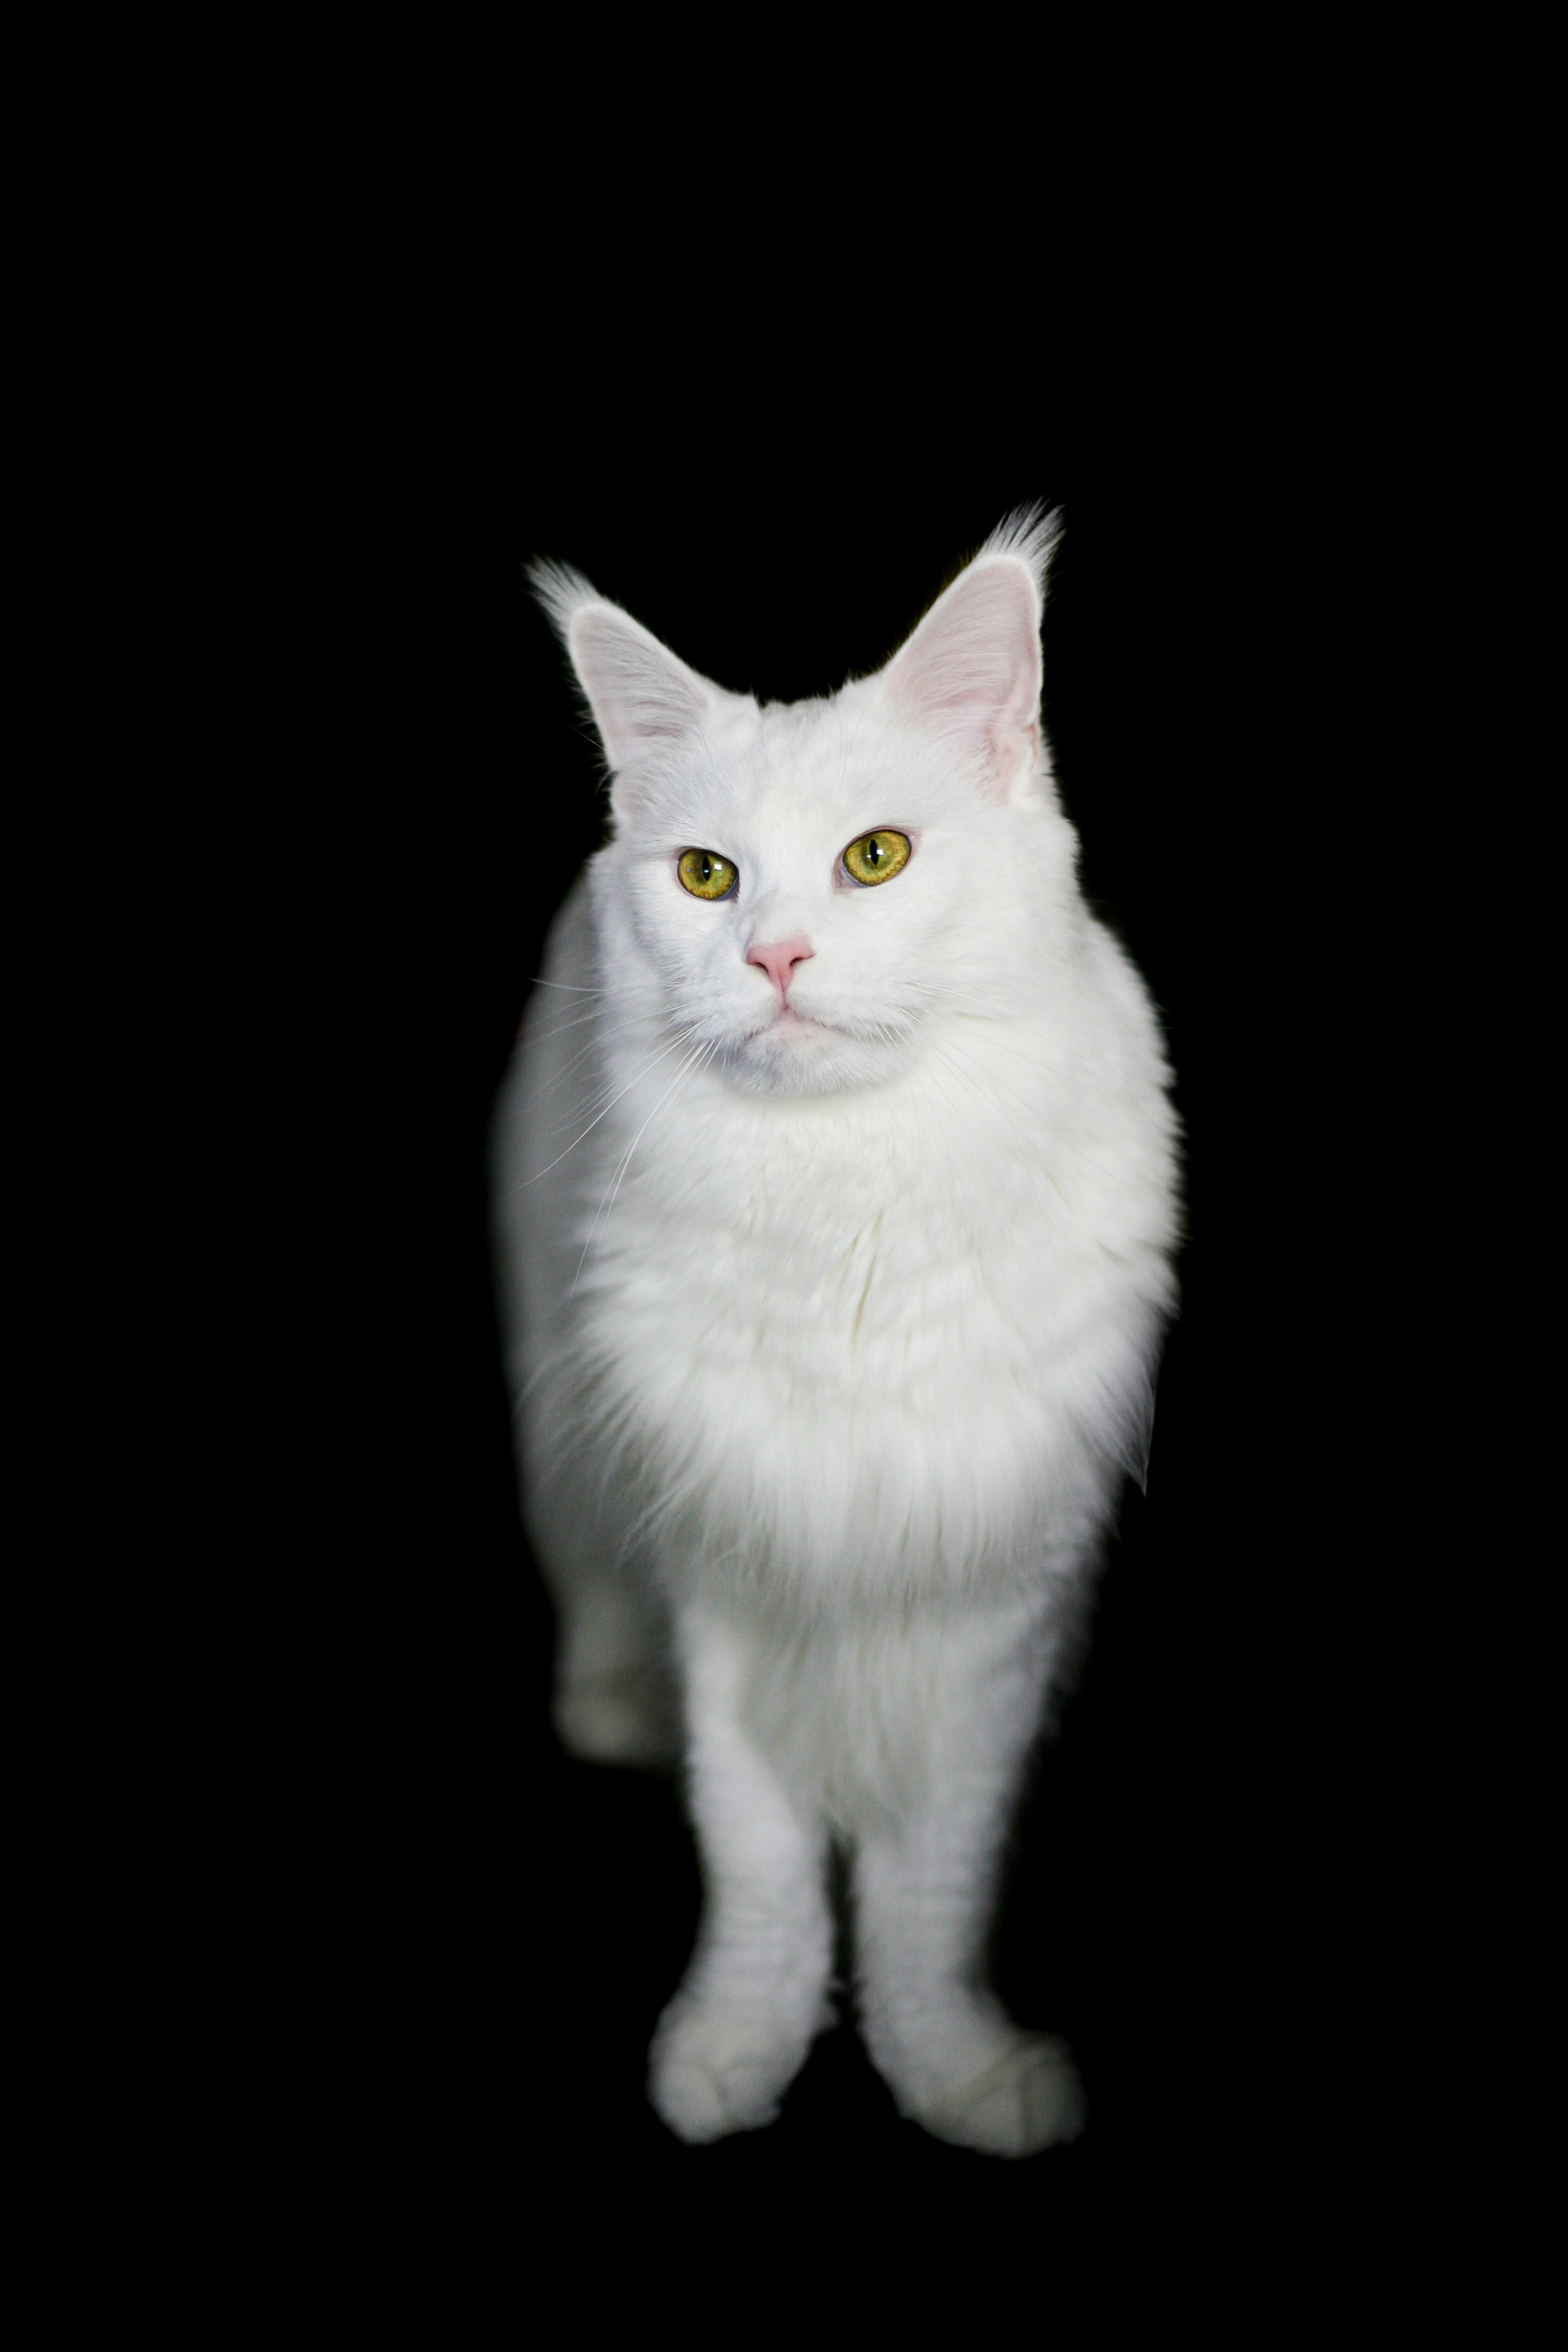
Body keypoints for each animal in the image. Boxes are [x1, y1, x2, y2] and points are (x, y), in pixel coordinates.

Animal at [491, 510, 1175, 2154]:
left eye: (877, 860)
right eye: (705, 877)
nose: (777, 960)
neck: (846, 1199)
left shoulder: (995, 1598)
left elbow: (933, 1891)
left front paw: (958, 2071)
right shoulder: (729, 1572)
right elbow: (759, 1865)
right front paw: (732, 2050)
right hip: (562, 1412)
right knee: (588, 1577)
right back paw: (611, 1707)